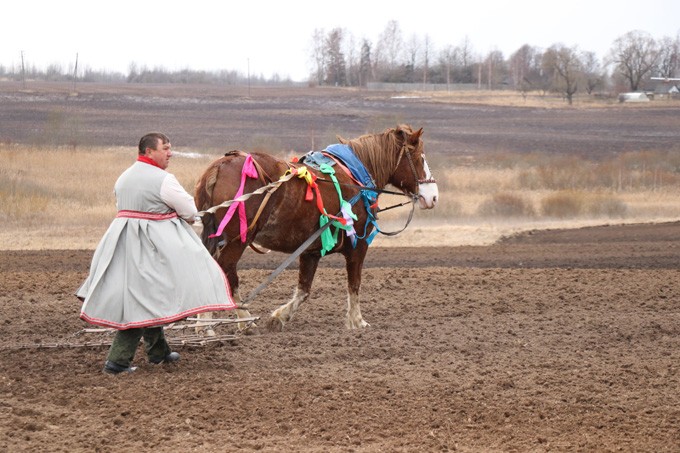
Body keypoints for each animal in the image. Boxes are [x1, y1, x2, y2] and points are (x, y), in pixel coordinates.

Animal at [194, 125, 438, 330]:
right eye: (420, 157)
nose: (433, 196)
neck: (355, 176)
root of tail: (220, 165)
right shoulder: (358, 245)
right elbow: (354, 284)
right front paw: (357, 322)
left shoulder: (310, 250)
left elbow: (304, 290)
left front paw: (279, 317)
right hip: (237, 240)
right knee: (222, 271)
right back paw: (233, 322)